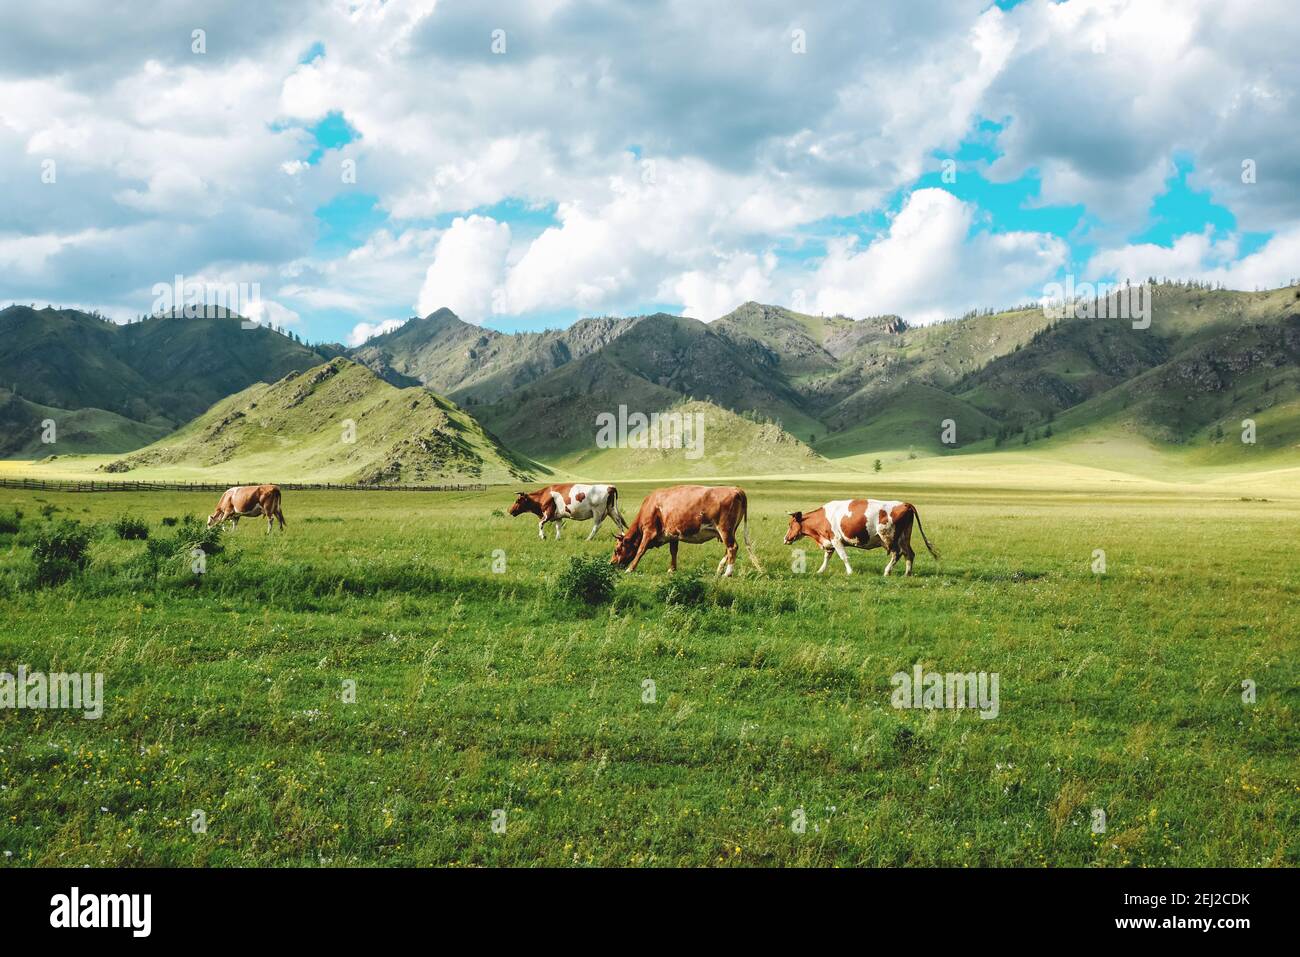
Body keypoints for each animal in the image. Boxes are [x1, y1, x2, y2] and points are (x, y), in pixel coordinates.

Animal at [610, 485, 761, 577]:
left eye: (617, 550)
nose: (611, 563)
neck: (651, 505)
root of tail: (736, 489)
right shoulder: (672, 535)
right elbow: (673, 551)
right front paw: (672, 569)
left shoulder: (649, 531)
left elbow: (641, 550)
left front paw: (630, 569)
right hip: (729, 531)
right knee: (729, 549)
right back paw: (719, 570)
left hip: (725, 529)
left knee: (732, 547)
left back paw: (727, 573)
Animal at [783, 498, 938, 576]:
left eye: (790, 524)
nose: (785, 539)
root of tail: (905, 504)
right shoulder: (829, 542)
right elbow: (827, 558)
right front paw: (820, 571)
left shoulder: (836, 540)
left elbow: (844, 557)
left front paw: (850, 572)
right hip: (904, 537)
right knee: (909, 554)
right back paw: (907, 574)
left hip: (888, 537)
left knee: (897, 553)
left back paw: (887, 572)